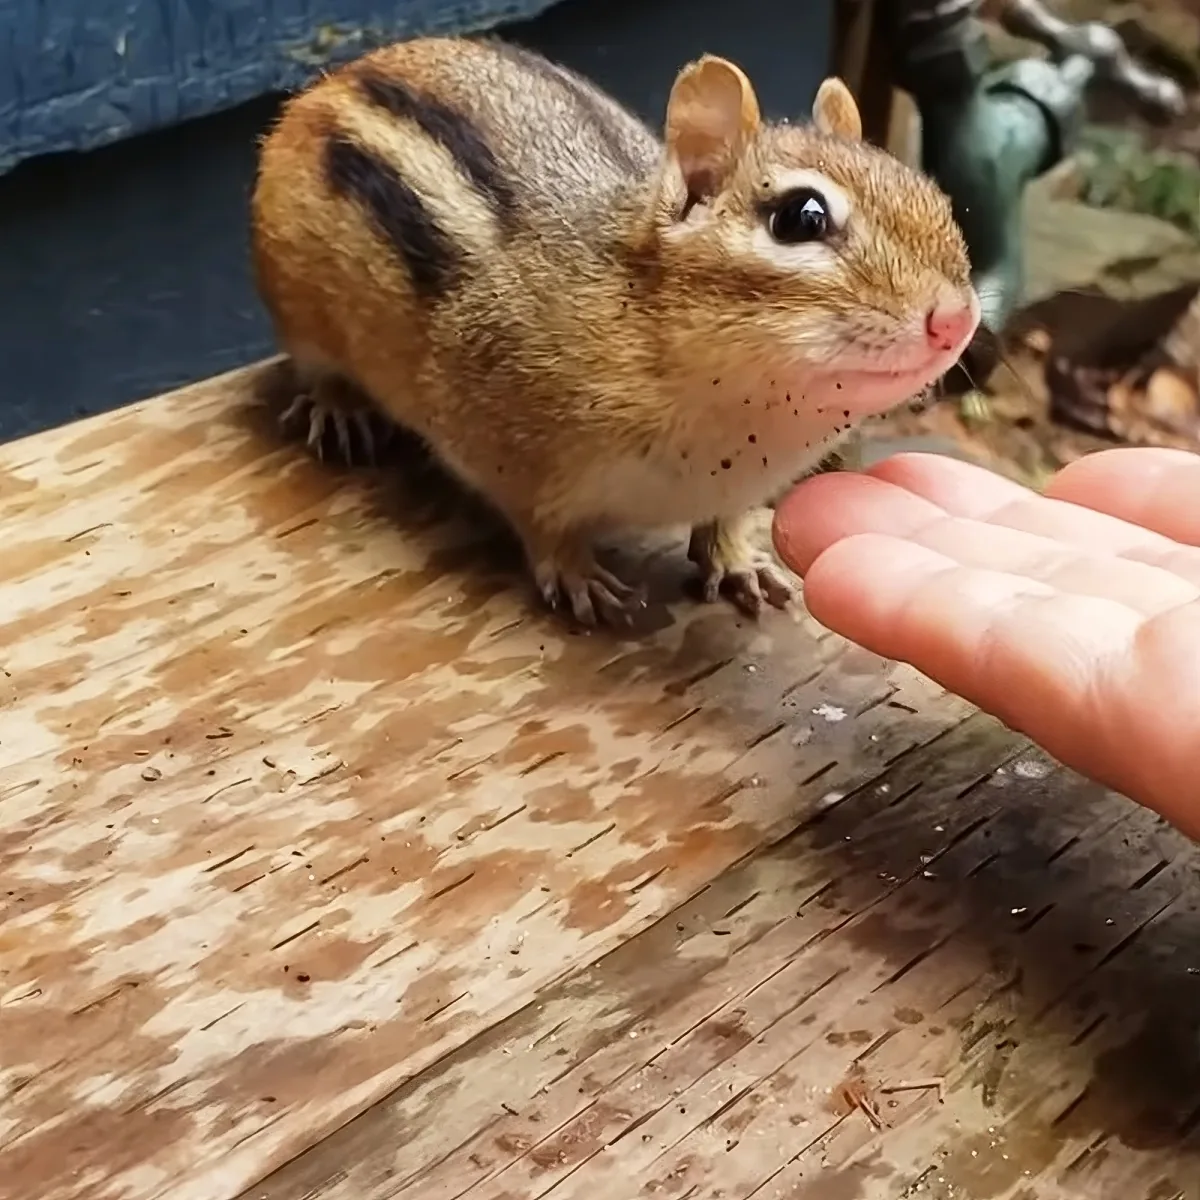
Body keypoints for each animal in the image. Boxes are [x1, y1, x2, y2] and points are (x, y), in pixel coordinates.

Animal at [251, 37, 979, 625]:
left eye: (929, 191)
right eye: (800, 217)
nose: (956, 319)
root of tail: (339, 75)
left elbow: (726, 525)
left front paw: (737, 559)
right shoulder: (505, 450)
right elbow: (541, 526)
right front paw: (577, 575)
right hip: (299, 311)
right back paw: (339, 408)